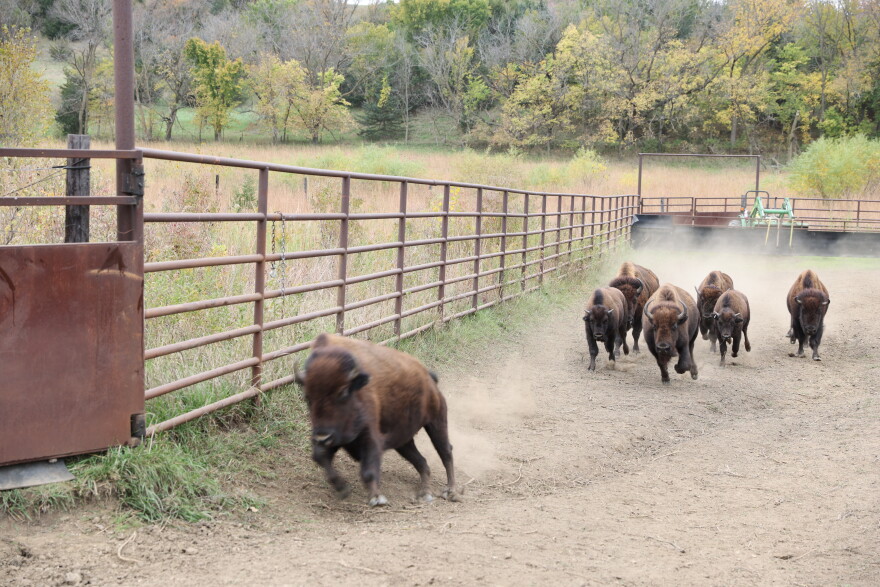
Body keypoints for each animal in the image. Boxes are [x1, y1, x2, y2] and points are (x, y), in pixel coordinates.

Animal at [295, 333, 457, 506]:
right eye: (307, 397)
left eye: (343, 392)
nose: (322, 437)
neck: (357, 388)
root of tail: (429, 378)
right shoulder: (337, 439)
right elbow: (320, 457)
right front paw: (342, 488)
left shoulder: (370, 437)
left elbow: (368, 471)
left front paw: (377, 498)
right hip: (403, 442)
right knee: (422, 462)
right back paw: (425, 493)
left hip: (436, 421)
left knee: (446, 452)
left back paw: (451, 491)